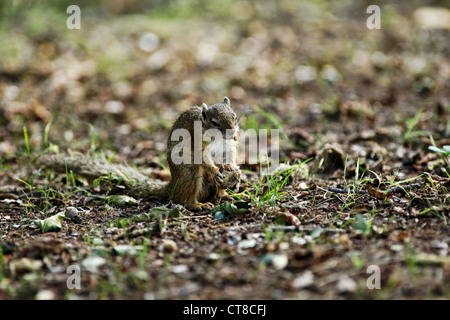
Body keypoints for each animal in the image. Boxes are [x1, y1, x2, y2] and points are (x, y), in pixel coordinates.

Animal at [37, 97, 243, 212]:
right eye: (215, 123)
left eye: (234, 117)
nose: (233, 132)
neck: (218, 138)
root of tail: (172, 187)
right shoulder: (198, 145)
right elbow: (204, 160)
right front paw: (216, 171)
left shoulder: (230, 147)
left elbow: (230, 158)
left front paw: (236, 171)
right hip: (190, 174)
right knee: (185, 199)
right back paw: (197, 205)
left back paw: (226, 194)